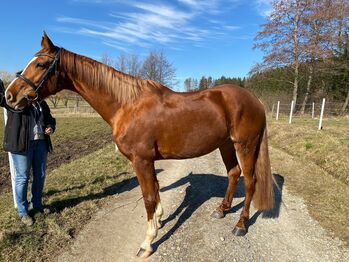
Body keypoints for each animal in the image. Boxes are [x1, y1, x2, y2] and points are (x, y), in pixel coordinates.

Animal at [4, 32, 274, 258]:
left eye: (40, 64)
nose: (9, 95)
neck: (127, 105)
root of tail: (255, 100)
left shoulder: (141, 160)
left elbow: (148, 197)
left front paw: (147, 243)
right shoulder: (148, 160)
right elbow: (155, 190)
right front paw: (159, 221)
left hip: (245, 146)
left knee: (250, 181)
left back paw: (240, 224)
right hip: (226, 145)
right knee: (233, 173)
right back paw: (221, 209)